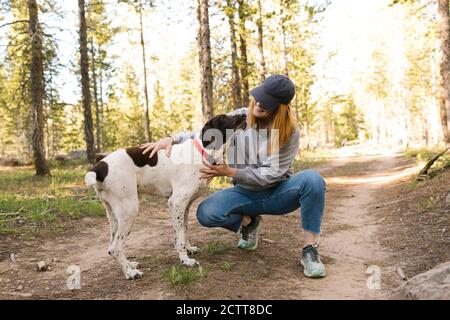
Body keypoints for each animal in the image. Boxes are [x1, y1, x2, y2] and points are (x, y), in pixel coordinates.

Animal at [84, 114, 246, 278]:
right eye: (223, 118)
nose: (244, 114)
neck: (201, 153)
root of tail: (99, 167)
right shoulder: (176, 203)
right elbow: (180, 237)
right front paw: (185, 260)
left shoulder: (185, 206)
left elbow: (184, 230)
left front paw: (189, 250)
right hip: (129, 210)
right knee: (115, 248)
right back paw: (130, 273)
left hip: (114, 215)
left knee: (111, 247)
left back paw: (130, 264)